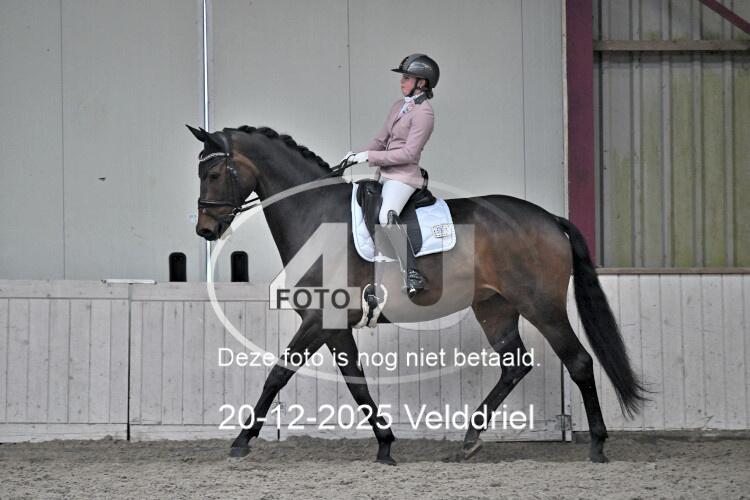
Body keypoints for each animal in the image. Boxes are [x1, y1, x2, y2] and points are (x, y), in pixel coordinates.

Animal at [189, 124, 646, 464]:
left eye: (213, 174)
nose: (205, 230)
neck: (317, 217)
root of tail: (549, 218)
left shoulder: (321, 320)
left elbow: (278, 374)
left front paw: (240, 442)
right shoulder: (334, 326)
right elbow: (356, 384)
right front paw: (385, 444)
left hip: (542, 306)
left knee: (579, 361)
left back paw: (597, 445)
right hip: (494, 307)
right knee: (515, 365)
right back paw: (468, 441)